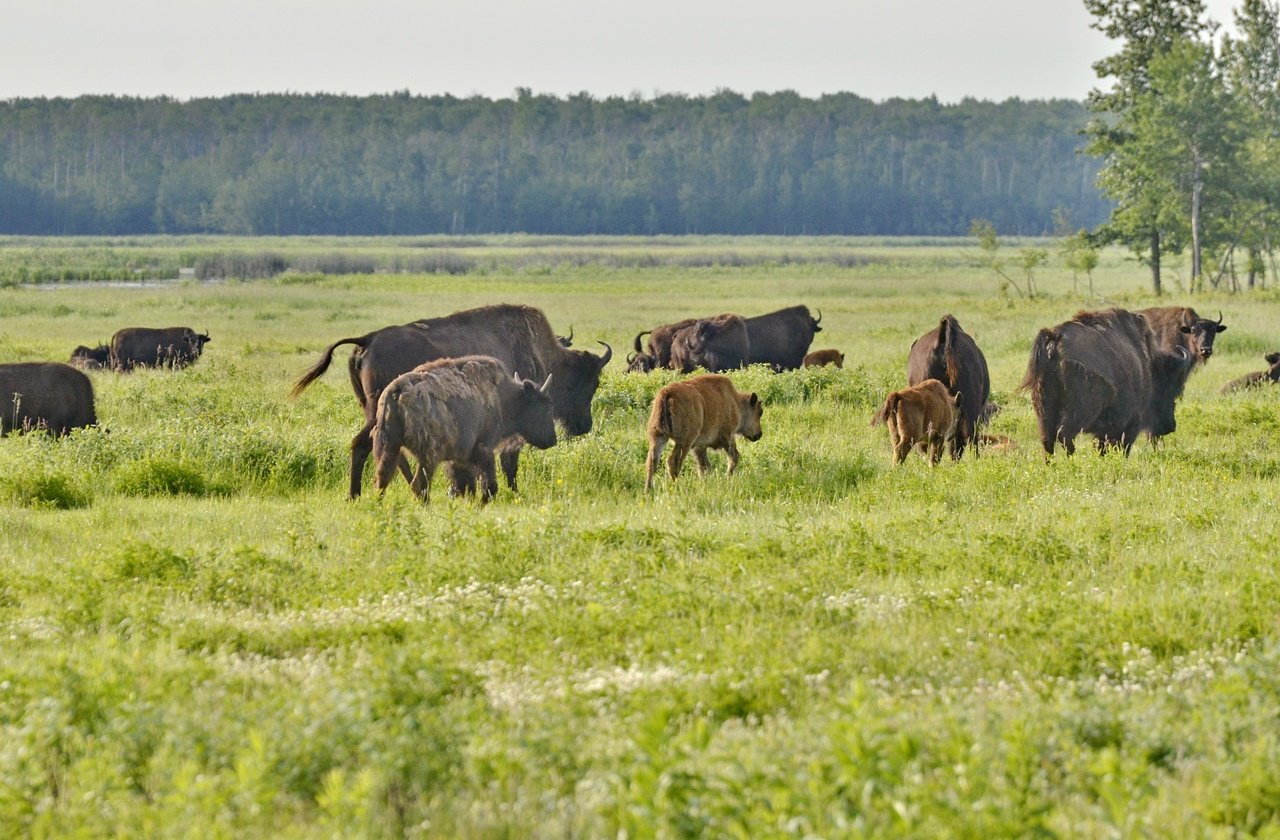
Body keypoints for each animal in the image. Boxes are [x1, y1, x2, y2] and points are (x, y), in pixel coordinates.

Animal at [290, 303, 609, 494]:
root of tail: (367, 339)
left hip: (375, 413)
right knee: (362, 446)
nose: (583, 426)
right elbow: (509, 462)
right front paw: (513, 492)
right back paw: (357, 495)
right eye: (590, 382)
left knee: (386, 452)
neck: (542, 353)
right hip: (377, 413)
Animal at [1013, 307, 1192, 455]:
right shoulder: (1129, 422)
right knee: (1064, 435)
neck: (1148, 364)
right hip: (1080, 411)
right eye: (1170, 387)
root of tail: (1055, 338)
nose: (1170, 426)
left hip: (1043, 408)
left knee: (1047, 441)